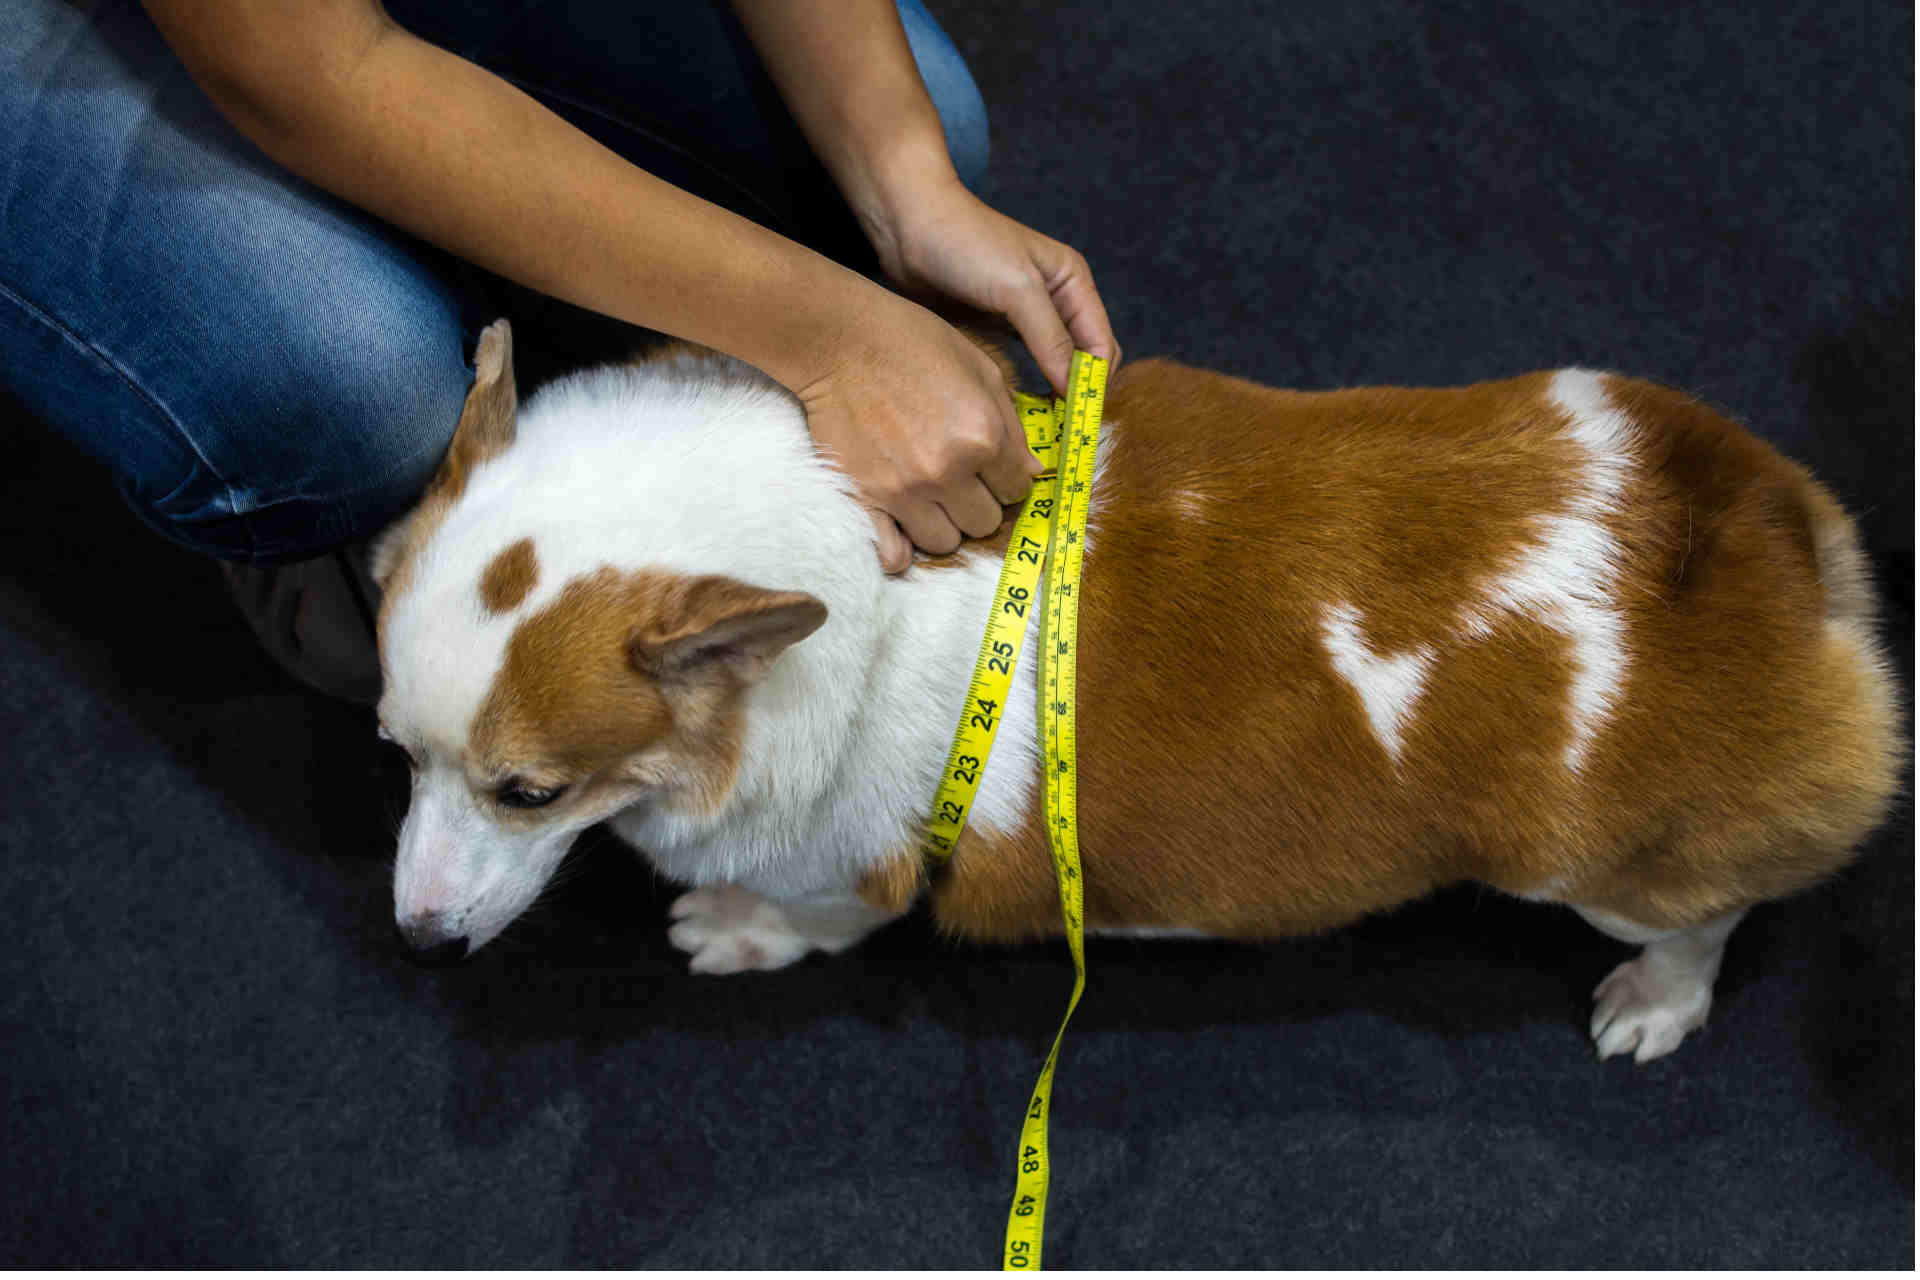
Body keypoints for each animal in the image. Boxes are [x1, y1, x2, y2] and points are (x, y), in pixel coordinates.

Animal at [366, 320, 1896, 1059]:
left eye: (530, 790)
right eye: (393, 750)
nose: (418, 946)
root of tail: (1764, 533)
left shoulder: (848, 871)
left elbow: (809, 920)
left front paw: (729, 930)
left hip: (1600, 872)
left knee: (1711, 913)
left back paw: (1654, 1002)